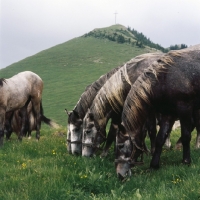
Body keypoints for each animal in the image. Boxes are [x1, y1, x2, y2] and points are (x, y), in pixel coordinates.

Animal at [117, 44, 200, 177]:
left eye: (120, 146)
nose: (120, 174)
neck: (165, 79)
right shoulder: (168, 114)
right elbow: (160, 138)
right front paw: (154, 165)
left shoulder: (185, 109)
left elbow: (186, 136)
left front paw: (186, 161)